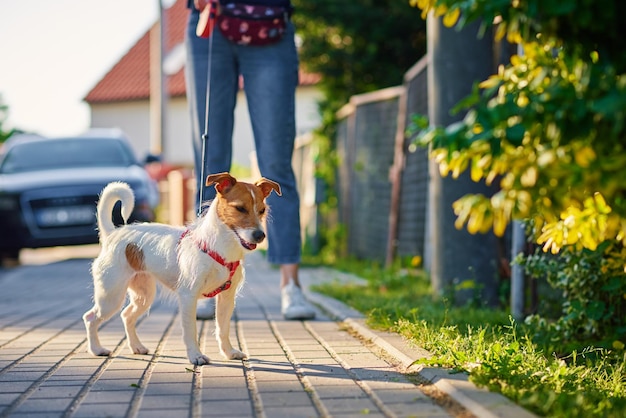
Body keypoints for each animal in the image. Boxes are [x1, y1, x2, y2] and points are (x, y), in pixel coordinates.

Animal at [82, 171, 280, 364]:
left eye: (262, 210)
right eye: (240, 208)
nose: (260, 235)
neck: (219, 247)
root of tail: (113, 234)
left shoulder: (227, 298)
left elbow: (222, 329)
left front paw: (229, 352)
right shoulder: (188, 296)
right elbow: (191, 330)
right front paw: (196, 356)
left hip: (143, 295)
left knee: (126, 316)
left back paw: (136, 346)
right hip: (111, 296)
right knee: (90, 317)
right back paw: (96, 349)